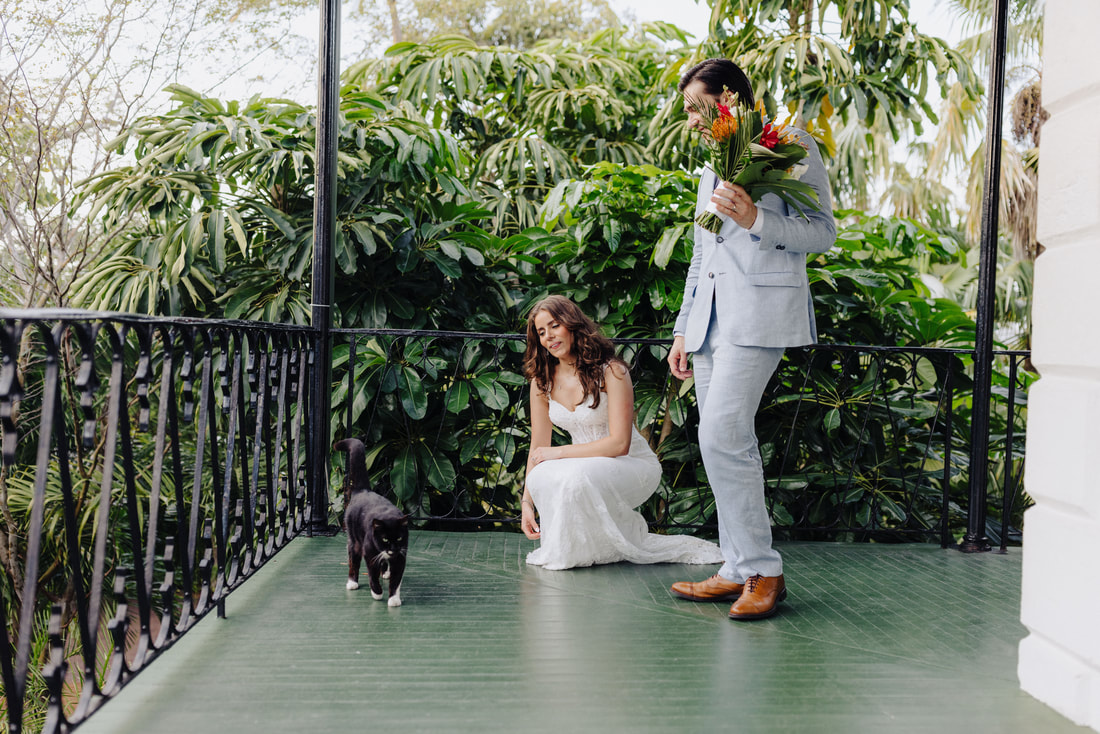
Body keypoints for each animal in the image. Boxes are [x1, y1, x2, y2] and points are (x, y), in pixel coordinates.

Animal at [332, 440, 411, 607]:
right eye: (385, 538)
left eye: (399, 538)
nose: (392, 548)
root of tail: (363, 490)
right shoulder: (369, 553)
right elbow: (372, 574)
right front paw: (377, 593)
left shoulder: (401, 556)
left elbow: (396, 579)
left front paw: (394, 599)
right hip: (354, 541)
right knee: (353, 561)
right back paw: (352, 583)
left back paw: (385, 572)